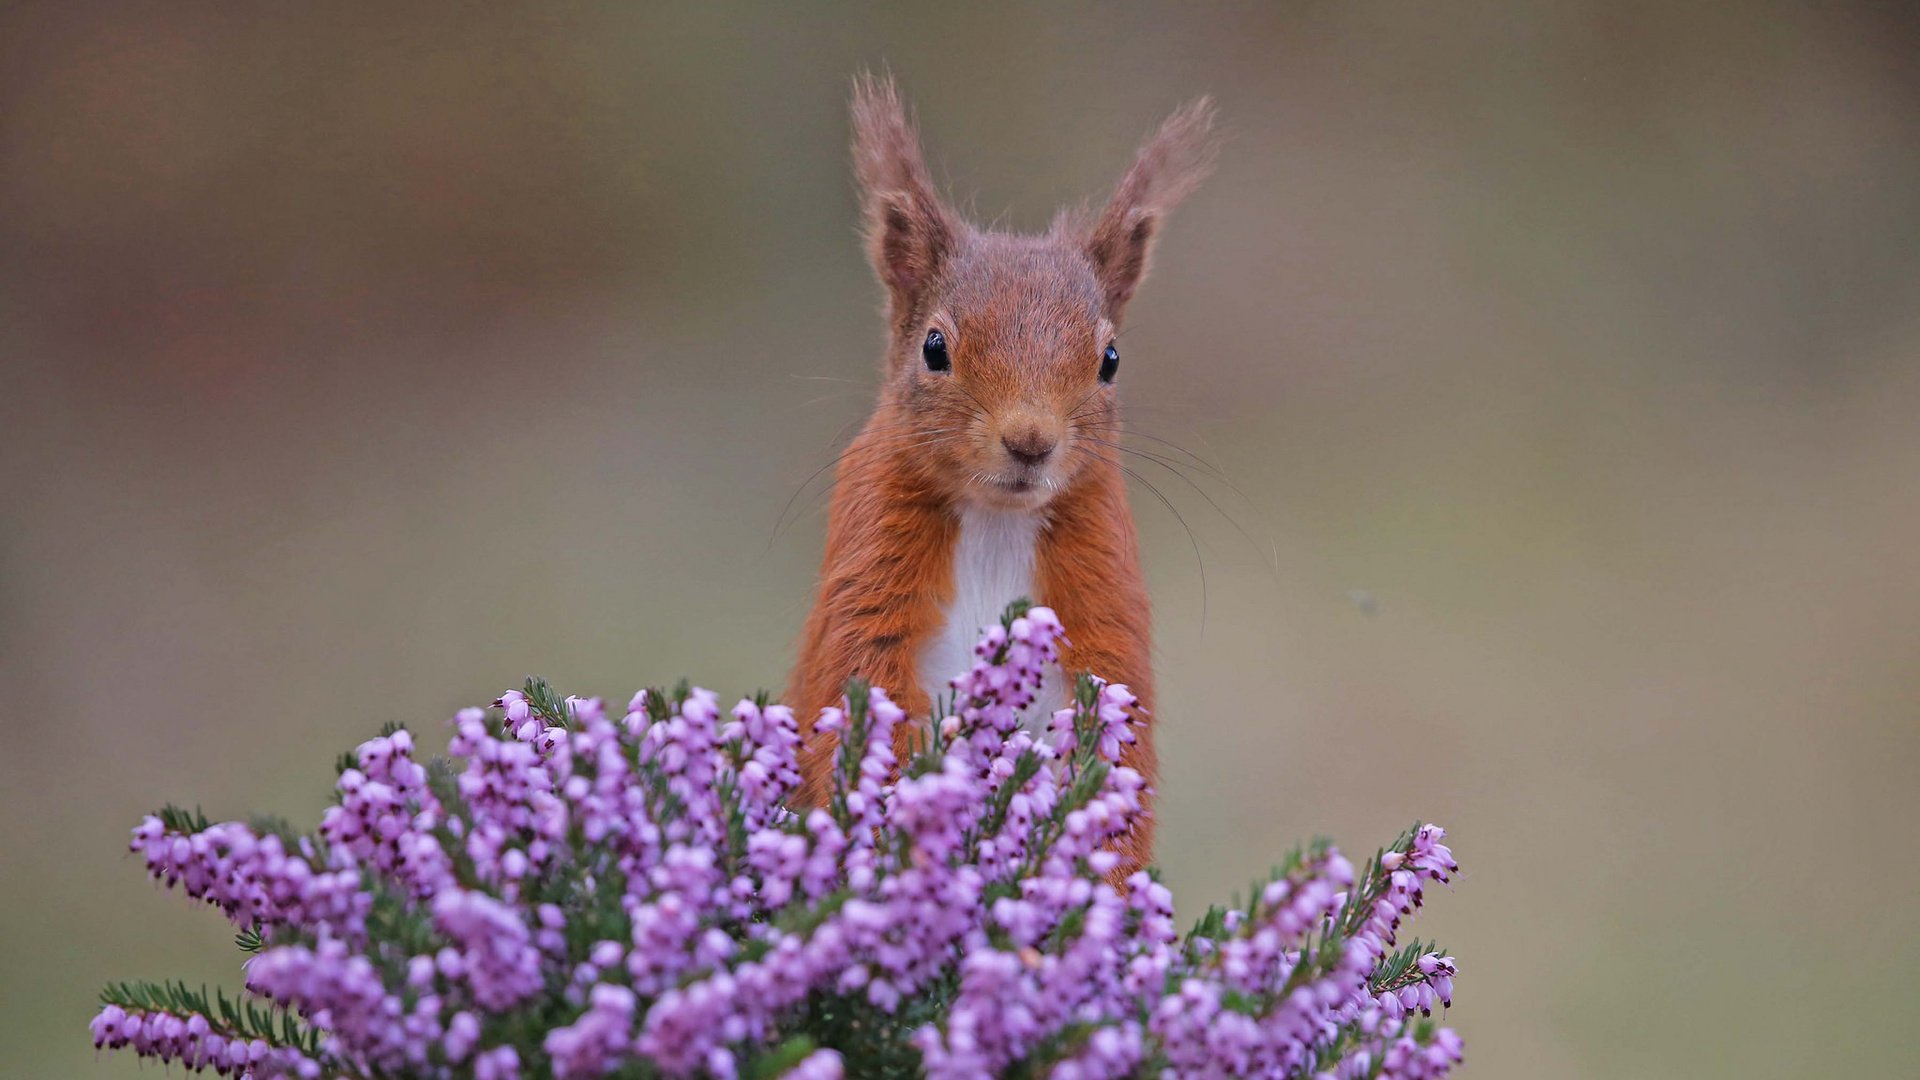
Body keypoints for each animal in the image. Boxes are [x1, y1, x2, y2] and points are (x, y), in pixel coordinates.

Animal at [783, 75, 1205, 864]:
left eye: (1110, 360)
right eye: (934, 347)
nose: (1030, 440)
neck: (995, 520)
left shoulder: (1104, 586)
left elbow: (1118, 738)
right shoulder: (870, 560)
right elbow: (862, 680)